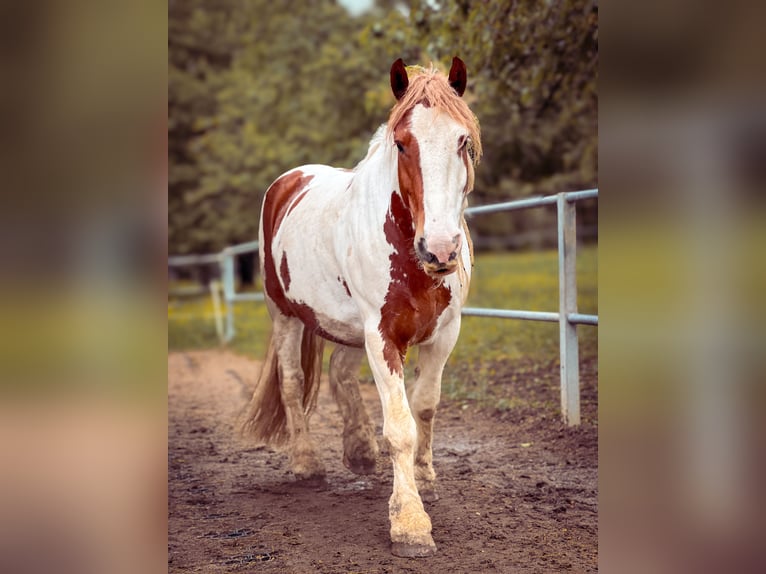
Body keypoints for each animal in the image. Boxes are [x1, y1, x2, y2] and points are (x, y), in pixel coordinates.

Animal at [240, 57, 482, 558]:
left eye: (462, 140)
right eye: (402, 143)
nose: (441, 249)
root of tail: (290, 180)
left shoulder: (444, 333)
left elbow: (425, 407)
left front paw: (425, 478)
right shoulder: (382, 335)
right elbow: (400, 426)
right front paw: (410, 523)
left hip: (349, 328)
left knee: (338, 372)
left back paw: (359, 451)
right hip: (285, 316)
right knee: (293, 384)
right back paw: (307, 462)